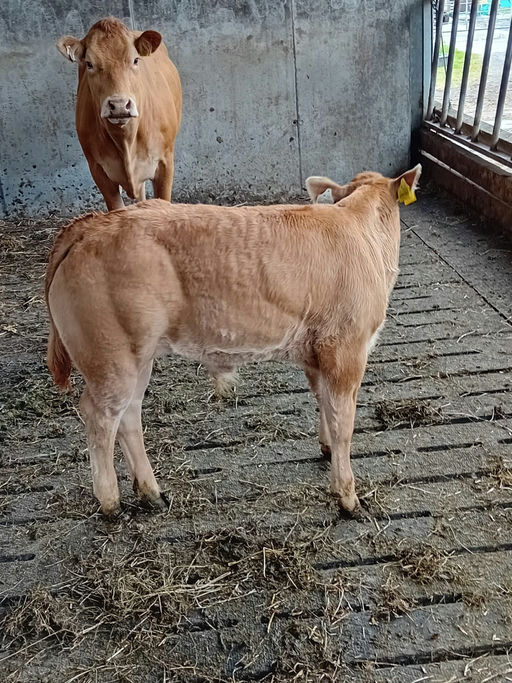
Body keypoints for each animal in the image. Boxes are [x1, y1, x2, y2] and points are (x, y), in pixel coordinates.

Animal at [45, 165, 421, 517]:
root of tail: (93, 224)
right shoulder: (346, 348)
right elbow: (344, 422)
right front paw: (347, 496)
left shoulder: (316, 352)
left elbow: (324, 404)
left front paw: (326, 449)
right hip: (111, 355)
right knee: (100, 416)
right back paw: (110, 501)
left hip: (138, 356)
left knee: (129, 414)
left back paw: (151, 492)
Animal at [57, 17, 182, 210]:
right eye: (89, 64)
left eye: (136, 60)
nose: (119, 105)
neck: (126, 140)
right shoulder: (98, 170)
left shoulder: (165, 162)